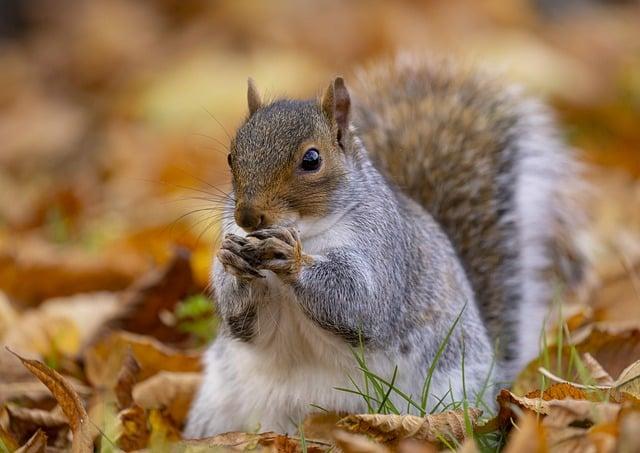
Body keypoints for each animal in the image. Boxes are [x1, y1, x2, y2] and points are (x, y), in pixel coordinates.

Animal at [184, 54, 580, 436]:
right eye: (231, 157)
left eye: (311, 159)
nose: (247, 217)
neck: (305, 231)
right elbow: (243, 322)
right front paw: (232, 261)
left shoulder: (384, 247)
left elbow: (362, 302)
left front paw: (292, 259)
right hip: (219, 404)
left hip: (452, 390)